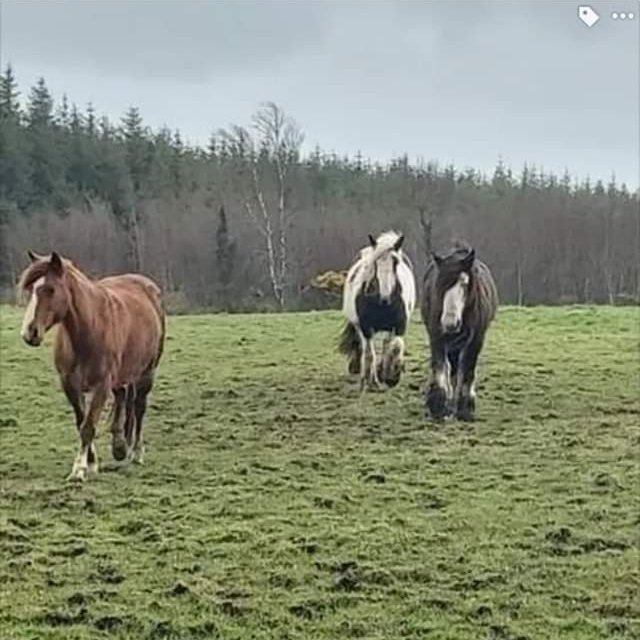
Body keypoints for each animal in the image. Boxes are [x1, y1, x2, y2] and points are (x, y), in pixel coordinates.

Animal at [18, 251, 165, 481]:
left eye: (50, 289)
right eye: (31, 289)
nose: (29, 333)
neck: (87, 331)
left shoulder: (101, 386)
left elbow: (88, 426)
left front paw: (78, 470)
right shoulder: (70, 385)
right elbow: (82, 422)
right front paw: (91, 463)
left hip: (147, 372)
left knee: (139, 407)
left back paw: (136, 452)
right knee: (123, 397)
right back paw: (119, 445)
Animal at [339, 230, 417, 390]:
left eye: (395, 262)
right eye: (375, 263)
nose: (385, 297)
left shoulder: (399, 326)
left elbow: (396, 347)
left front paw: (391, 376)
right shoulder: (366, 328)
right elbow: (370, 353)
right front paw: (372, 381)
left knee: (387, 345)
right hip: (359, 327)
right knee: (365, 348)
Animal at [421, 241, 498, 421]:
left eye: (464, 282)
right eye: (439, 283)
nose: (450, 323)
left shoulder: (476, 339)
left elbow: (468, 369)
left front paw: (465, 408)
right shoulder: (436, 336)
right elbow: (440, 368)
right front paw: (438, 406)